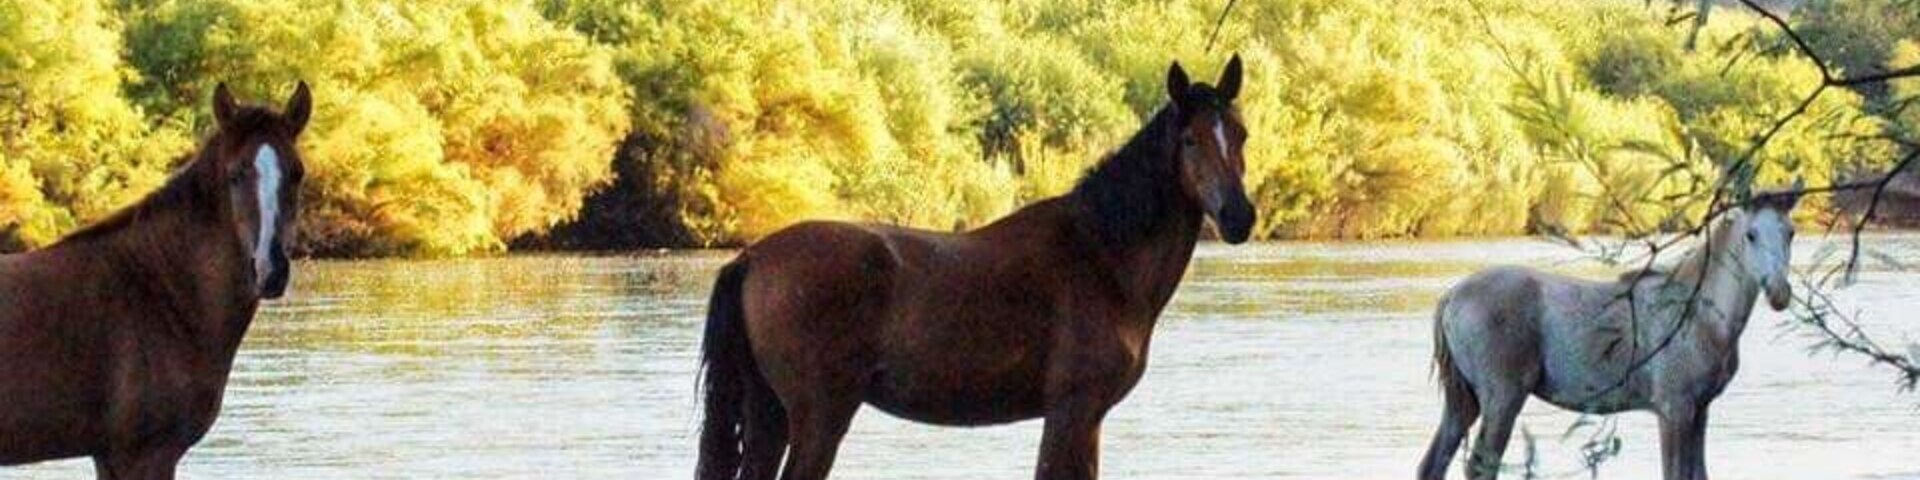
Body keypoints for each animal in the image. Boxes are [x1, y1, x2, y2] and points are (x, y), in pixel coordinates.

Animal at [0, 82, 310, 479]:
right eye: (236, 174)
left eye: (297, 173)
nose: (271, 269)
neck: (159, 291)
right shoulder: (145, 456)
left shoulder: (109, 456)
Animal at [695, 56, 1252, 480]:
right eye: (1190, 139)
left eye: (1241, 134)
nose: (1239, 216)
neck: (1101, 254)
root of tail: (751, 258)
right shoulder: (1071, 412)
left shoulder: (1087, 418)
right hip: (818, 418)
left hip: (769, 414)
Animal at [1417, 185, 1804, 480]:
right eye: (1751, 235)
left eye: (1790, 232)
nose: (1779, 293)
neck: (1700, 316)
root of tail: (1452, 296)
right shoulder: (1674, 408)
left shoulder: (1700, 409)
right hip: (1502, 398)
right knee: (1479, 466)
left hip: (1464, 401)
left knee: (1433, 464)